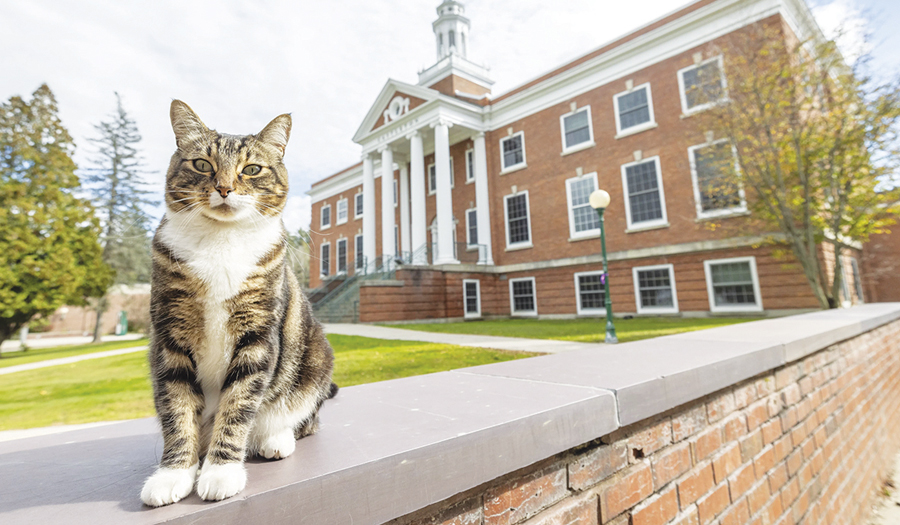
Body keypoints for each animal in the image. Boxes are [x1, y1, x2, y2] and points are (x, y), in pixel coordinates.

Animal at [141, 100, 338, 506]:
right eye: (202, 164)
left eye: (252, 169)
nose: (224, 187)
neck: (221, 240)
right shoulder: (170, 336)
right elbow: (177, 408)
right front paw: (173, 474)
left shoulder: (258, 334)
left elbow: (238, 404)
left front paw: (221, 471)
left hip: (316, 359)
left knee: (304, 418)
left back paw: (275, 438)